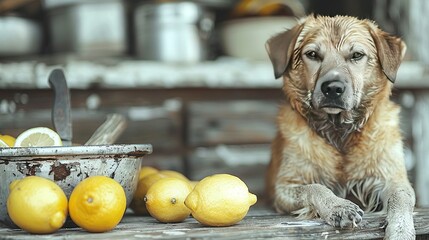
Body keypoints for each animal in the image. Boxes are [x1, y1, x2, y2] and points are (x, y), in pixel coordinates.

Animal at [264, 15, 414, 240]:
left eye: (357, 55)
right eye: (312, 54)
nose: (333, 88)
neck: (339, 133)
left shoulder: (393, 178)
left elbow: (401, 198)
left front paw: (401, 230)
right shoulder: (286, 186)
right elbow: (315, 187)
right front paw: (338, 206)